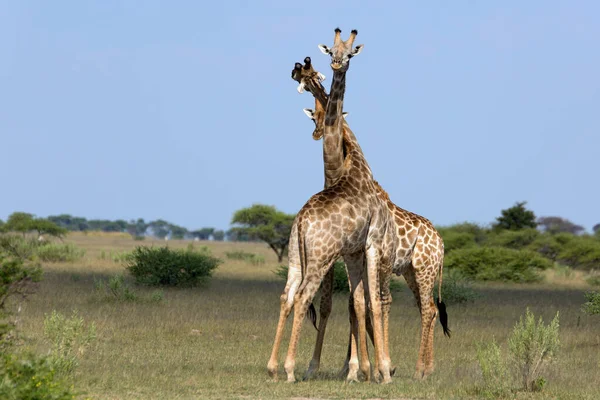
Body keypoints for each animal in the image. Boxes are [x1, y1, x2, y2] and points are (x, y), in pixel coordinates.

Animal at [268, 28, 450, 384]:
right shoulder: (358, 251)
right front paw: (361, 369)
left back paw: (420, 369)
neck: (349, 169)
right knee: (303, 296)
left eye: (350, 52)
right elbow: (353, 305)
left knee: (422, 308)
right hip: (378, 265)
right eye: (329, 51)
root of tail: (440, 240)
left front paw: (363, 368)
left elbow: (360, 304)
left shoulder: (360, 251)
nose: (300, 67)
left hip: (417, 268)